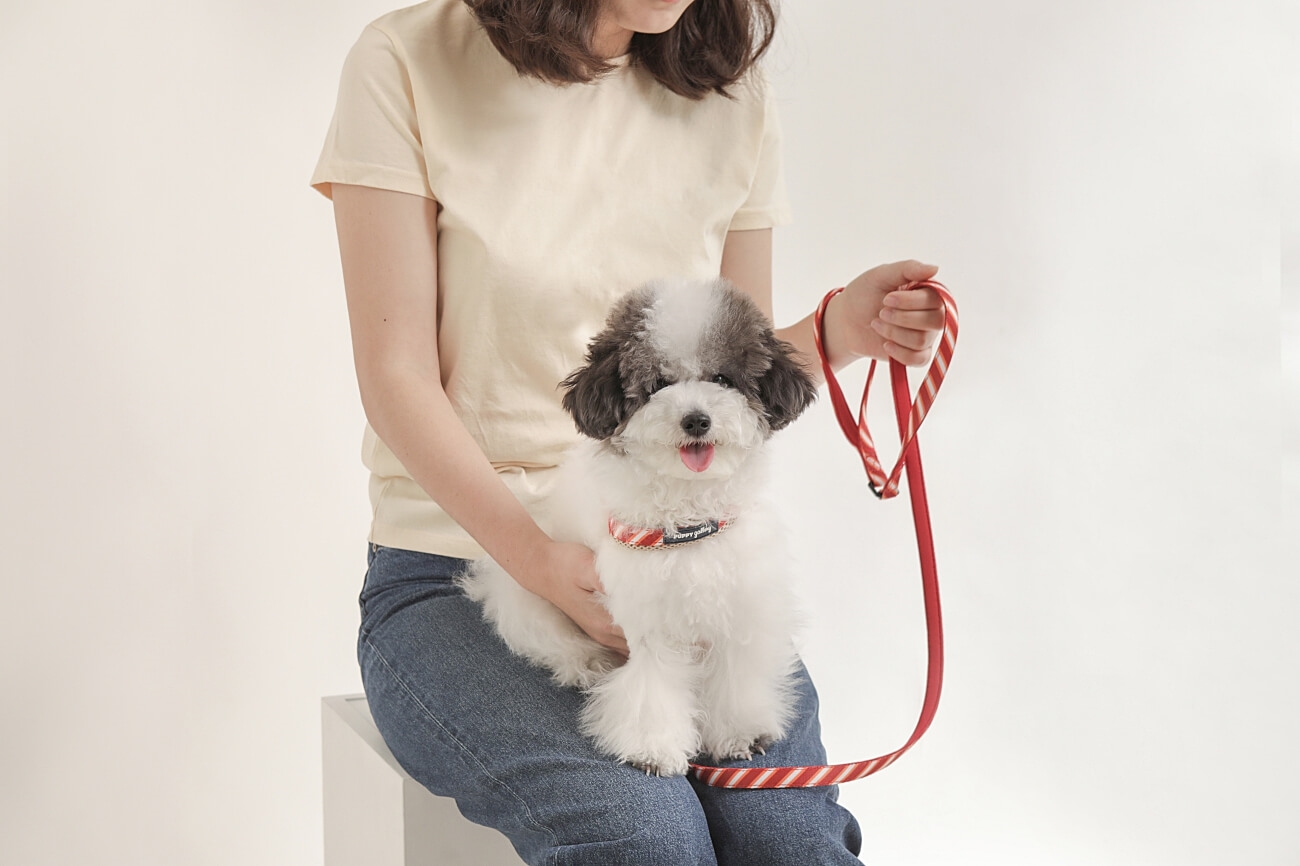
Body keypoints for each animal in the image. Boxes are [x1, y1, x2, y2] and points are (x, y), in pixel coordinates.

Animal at [459, 277, 818, 776]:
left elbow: (735, 680)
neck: (688, 523)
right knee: (546, 641)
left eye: (722, 379)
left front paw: (737, 733)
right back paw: (585, 663)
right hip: (526, 597)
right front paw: (652, 748)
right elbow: (653, 688)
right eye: (658, 384)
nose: (696, 419)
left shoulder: (739, 604)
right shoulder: (649, 619)